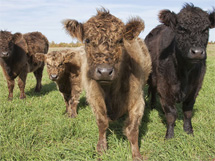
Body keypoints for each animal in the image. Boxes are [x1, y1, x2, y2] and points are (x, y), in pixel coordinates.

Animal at [63, 9, 152, 161]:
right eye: (87, 40)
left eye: (120, 40)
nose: (104, 72)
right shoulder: (94, 97)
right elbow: (102, 122)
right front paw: (101, 147)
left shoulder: (137, 100)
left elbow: (132, 130)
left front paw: (136, 154)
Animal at [144, 3, 215, 140]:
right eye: (181, 28)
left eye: (206, 29)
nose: (197, 52)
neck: (185, 72)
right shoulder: (165, 88)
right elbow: (171, 114)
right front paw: (169, 135)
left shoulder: (195, 88)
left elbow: (187, 111)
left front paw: (189, 131)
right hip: (152, 77)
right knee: (153, 90)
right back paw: (153, 105)